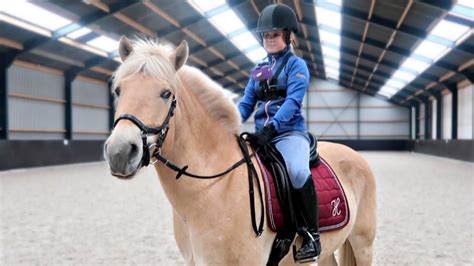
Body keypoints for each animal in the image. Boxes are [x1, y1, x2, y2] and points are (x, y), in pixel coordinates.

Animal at [104, 35, 378, 266]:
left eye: (166, 93)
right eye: (118, 90)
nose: (120, 153)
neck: (212, 188)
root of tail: (353, 154)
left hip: (362, 243)